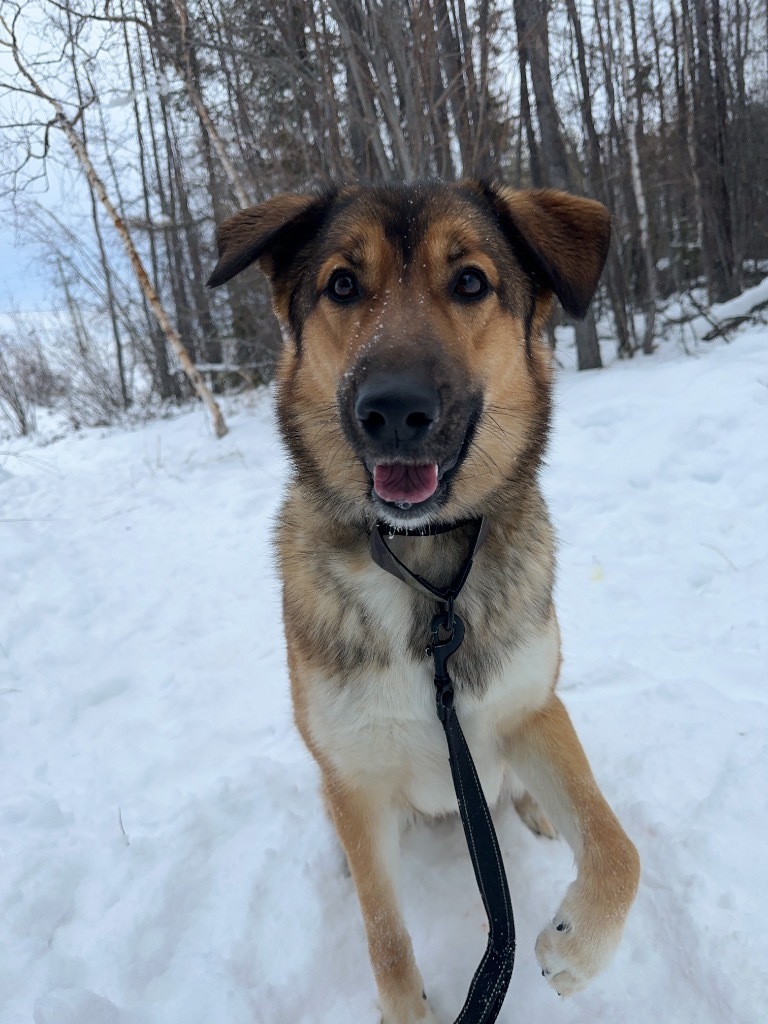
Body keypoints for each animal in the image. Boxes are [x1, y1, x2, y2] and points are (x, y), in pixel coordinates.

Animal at [207, 180, 638, 1019]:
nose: (394, 410)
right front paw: (408, 1008)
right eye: (343, 285)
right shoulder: (358, 783)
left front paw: (575, 947)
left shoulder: (531, 707)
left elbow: (615, 844)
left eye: (470, 281)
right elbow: (383, 930)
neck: (425, 574)